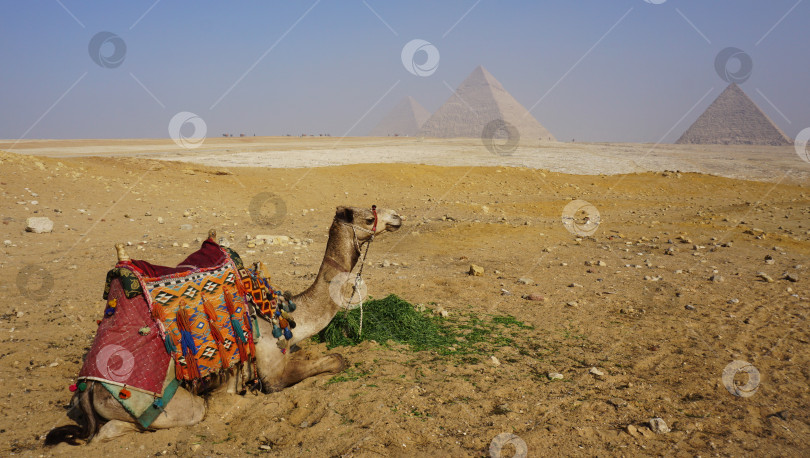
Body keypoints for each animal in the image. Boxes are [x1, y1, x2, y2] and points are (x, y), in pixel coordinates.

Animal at [45, 204, 400, 444]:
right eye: (368, 217)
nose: (397, 217)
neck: (280, 315)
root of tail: (88, 387)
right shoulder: (270, 369)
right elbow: (335, 361)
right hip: (150, 402)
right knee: (116, 430)